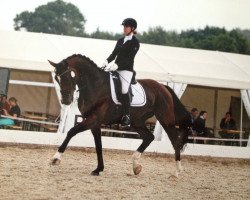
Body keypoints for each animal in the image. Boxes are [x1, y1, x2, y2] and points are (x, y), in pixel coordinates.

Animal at [48, 53, 189, 177]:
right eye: (56, 79)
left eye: (68, 76)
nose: (65, 101)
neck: (96, 85)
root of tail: (162, 86)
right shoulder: (94, 123)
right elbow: (98, 145)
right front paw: (98, 169)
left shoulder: (93, 119)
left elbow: (71, 131)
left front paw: (55, 158)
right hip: (137, 122)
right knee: (149, 137)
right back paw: (136, 166)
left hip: (165, 119)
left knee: (175, 141)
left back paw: (177, 172)